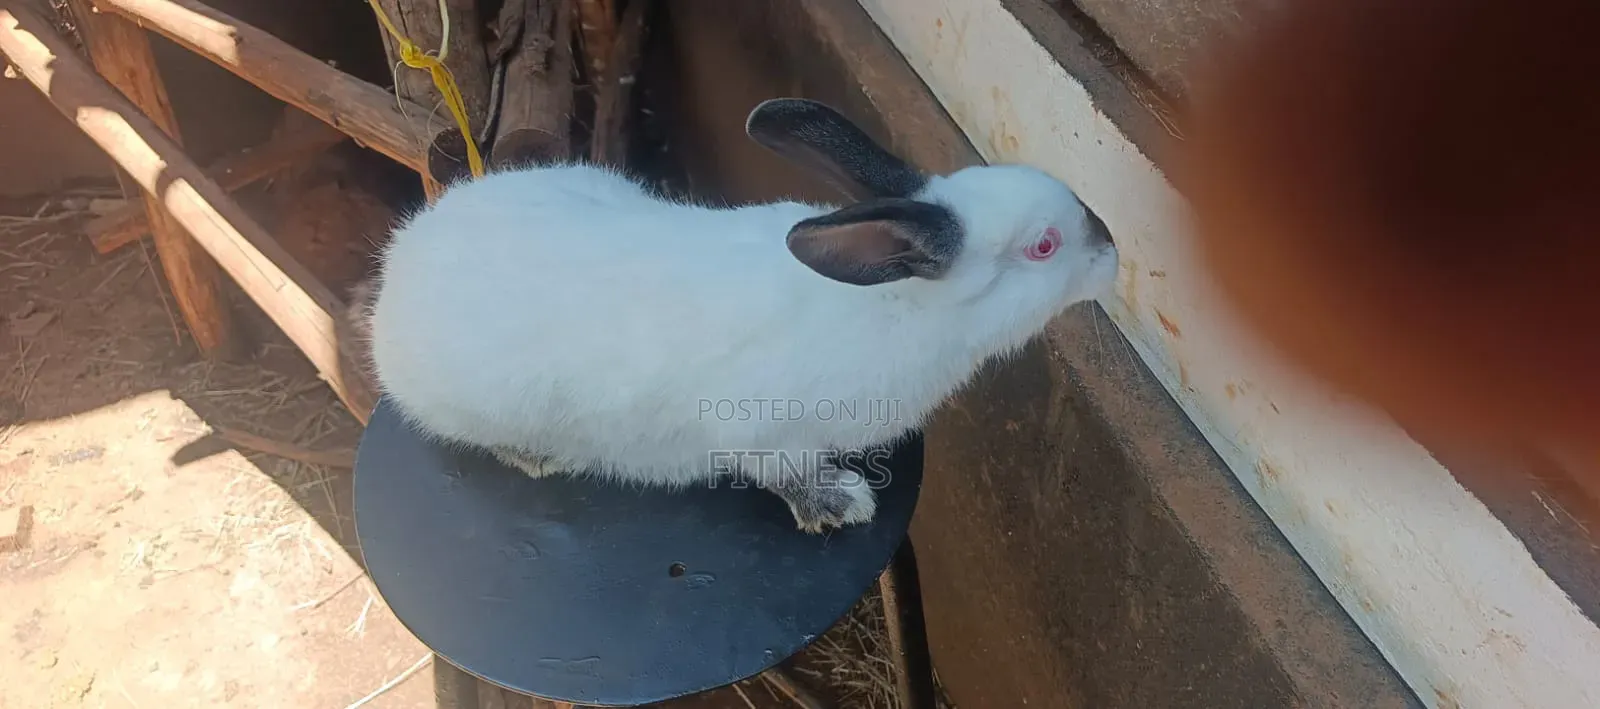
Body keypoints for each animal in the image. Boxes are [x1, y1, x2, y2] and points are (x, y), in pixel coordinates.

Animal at [355, 97, 1119, 533]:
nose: (1112, 251)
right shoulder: (766, 434)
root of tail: (402, 264)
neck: (896, 299)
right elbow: (787, 476)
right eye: (1045, 246)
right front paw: (842, 504)